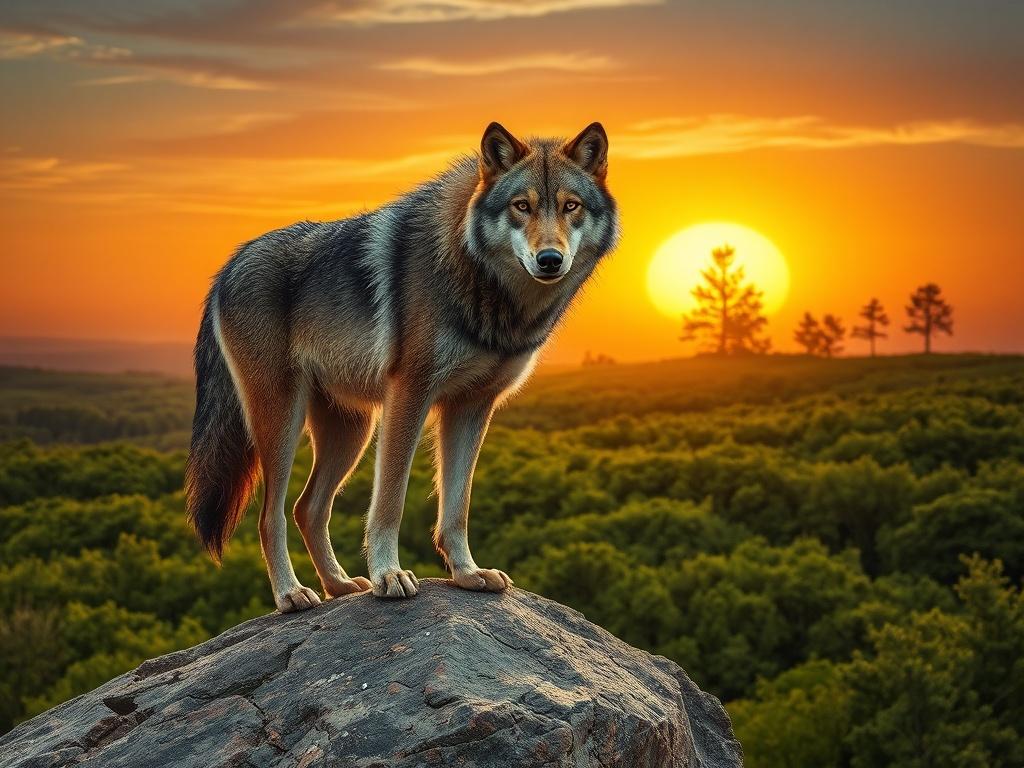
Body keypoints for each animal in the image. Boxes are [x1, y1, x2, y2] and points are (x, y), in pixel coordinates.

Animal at [185, 122, 620, 611]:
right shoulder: (409, 395)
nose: (550, 259)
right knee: (269, 516)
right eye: (521, 206)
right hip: (283, 423)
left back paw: (340, 585)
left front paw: (467, 574)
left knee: (307, 508)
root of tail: (229, 265)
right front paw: (389, 575)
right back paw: (292, 594)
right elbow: (390, 501)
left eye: (571, 206)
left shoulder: (471, 407)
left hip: (351, 430)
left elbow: (457, 506)